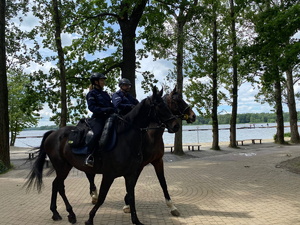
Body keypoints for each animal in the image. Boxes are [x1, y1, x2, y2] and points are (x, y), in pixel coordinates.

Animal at [25, 86, 178, 225]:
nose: (176, 125)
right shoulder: (109, 174)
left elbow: (131, 195)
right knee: (59, 186)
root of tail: (53, 133)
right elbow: (102, 197)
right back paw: (66, 213)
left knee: (57, 185)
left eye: (167, 105)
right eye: (159, 105)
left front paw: (136, 220)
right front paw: (90, 219)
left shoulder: (130, 174)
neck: (126, 139)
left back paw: (59, 213)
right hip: (62, 167)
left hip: (66, 166)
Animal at [85, 86, 196, 216]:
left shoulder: (158, 161)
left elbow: (163, 182)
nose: (193, 116)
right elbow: (133, 183)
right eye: (177, 101)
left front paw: (172, 206)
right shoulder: (139, 165)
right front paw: (127, 203)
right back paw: (94, 195)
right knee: (89, 174)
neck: (151, 136)